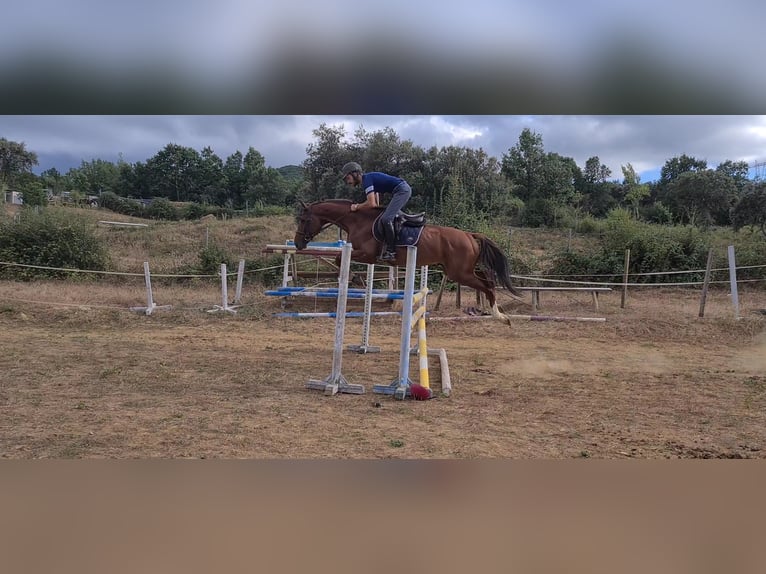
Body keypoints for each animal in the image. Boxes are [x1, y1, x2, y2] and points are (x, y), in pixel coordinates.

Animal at [292, 199, 524, 324]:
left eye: (304, 220)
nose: (297, 243)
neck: (358, 220)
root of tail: (469, 235)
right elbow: (341, 259)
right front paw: (357, 280)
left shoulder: (366, 254)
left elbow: (340, 258)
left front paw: (355, 279)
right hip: (463, 270)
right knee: (487, 278)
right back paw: (494, 312)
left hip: (459, 272)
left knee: (489, 284)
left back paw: (500, 316)